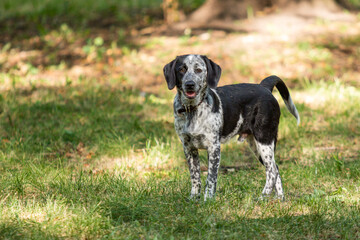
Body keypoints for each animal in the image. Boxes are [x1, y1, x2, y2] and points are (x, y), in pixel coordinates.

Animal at [165, 54, 300, 201]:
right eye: (181, 69)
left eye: (199, 70)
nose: (190, 84)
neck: (192, 110)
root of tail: (264, 87)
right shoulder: (189, 148)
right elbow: (195, 177)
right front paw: (194, 199)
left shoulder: (214, 147)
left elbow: (211, 178)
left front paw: (208, 200)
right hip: (256, 145)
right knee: (276, 168)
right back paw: (279, 199)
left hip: (264, 139)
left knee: (272, 171)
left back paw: (262, 197)